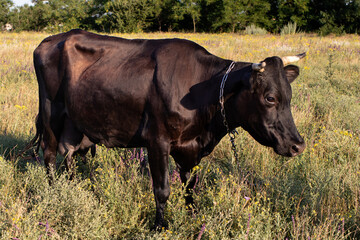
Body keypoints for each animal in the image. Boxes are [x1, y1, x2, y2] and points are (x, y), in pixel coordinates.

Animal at [31, 29, 306, 230]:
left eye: (290, 95)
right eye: (270, 98)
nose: (298, 145)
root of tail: (52, 39)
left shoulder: (190, 147)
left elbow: (189, 185)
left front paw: (193, 217)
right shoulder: (157, 141)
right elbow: (162, 189)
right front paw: (159, 227)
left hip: (76, 124)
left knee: (70, 155)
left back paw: (76, 189)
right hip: (50, 113)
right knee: (49, 155)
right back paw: (55, 193)